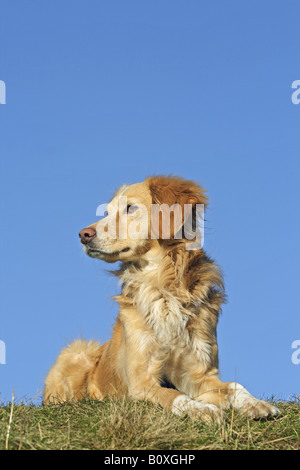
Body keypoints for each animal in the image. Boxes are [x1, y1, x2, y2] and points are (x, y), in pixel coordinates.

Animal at [43, 175, 280, 422]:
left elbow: (234, 385)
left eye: (130, 208)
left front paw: (255, 403)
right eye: (106, 212)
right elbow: (173, 395)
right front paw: (202, 409)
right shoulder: (141, 383)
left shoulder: (198, 375)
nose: (83, 234)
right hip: (77, 350)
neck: (163, 288)